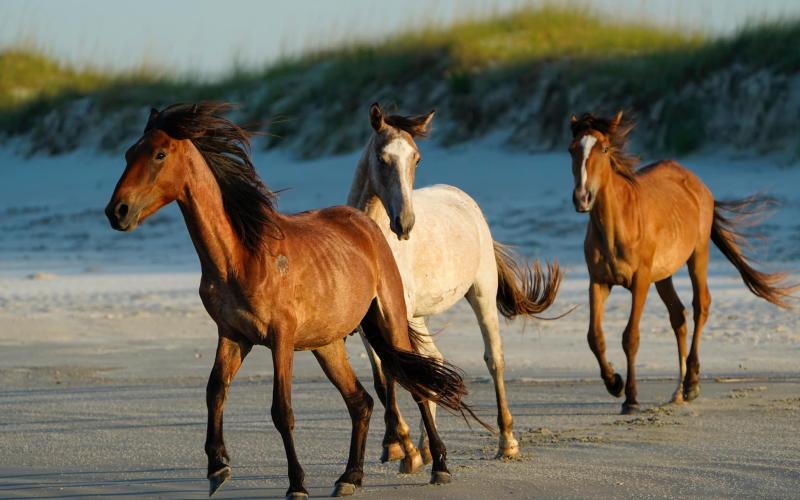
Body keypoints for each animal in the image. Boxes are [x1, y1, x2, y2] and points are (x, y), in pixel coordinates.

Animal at [104, 102, 478, 498]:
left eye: (159, 154)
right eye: (128, 154)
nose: (117, 211)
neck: (240, 255)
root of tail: (367, 224)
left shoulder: (280, 337)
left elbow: (281, 411)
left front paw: (296, 484)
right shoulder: (232, 335)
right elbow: (215, 392)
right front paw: (218, 468)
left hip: (389, 321)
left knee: (416, 387)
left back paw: (439, 466)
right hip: (328, 344)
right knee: (360, 401)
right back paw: (350, 477)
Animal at [348, 102, 563, 469]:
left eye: (417, 159)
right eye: (381, 158)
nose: (405, 223)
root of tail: (462, 197)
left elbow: (395, 371)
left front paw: (402, 448)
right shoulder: (367, 323)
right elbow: (382, 377)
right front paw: (399, 446)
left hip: (481, 294)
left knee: (494, 358)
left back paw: (507, 442)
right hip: (419, 315)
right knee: (432, 361)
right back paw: (424, 446)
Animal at [568, 110, 798, 414]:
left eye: (604, 149)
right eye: (572, 149)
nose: (582, 198)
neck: (616, 226)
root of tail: (696, 182)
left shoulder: (640, 281)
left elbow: (631, 337)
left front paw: (631, 398)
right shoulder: (599, 282)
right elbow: (595, 337)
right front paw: (614, 383)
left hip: (697, 255)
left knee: (701, 306)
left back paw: (691, 384)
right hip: (663, 275)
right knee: (678, 316)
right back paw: (677, 391)